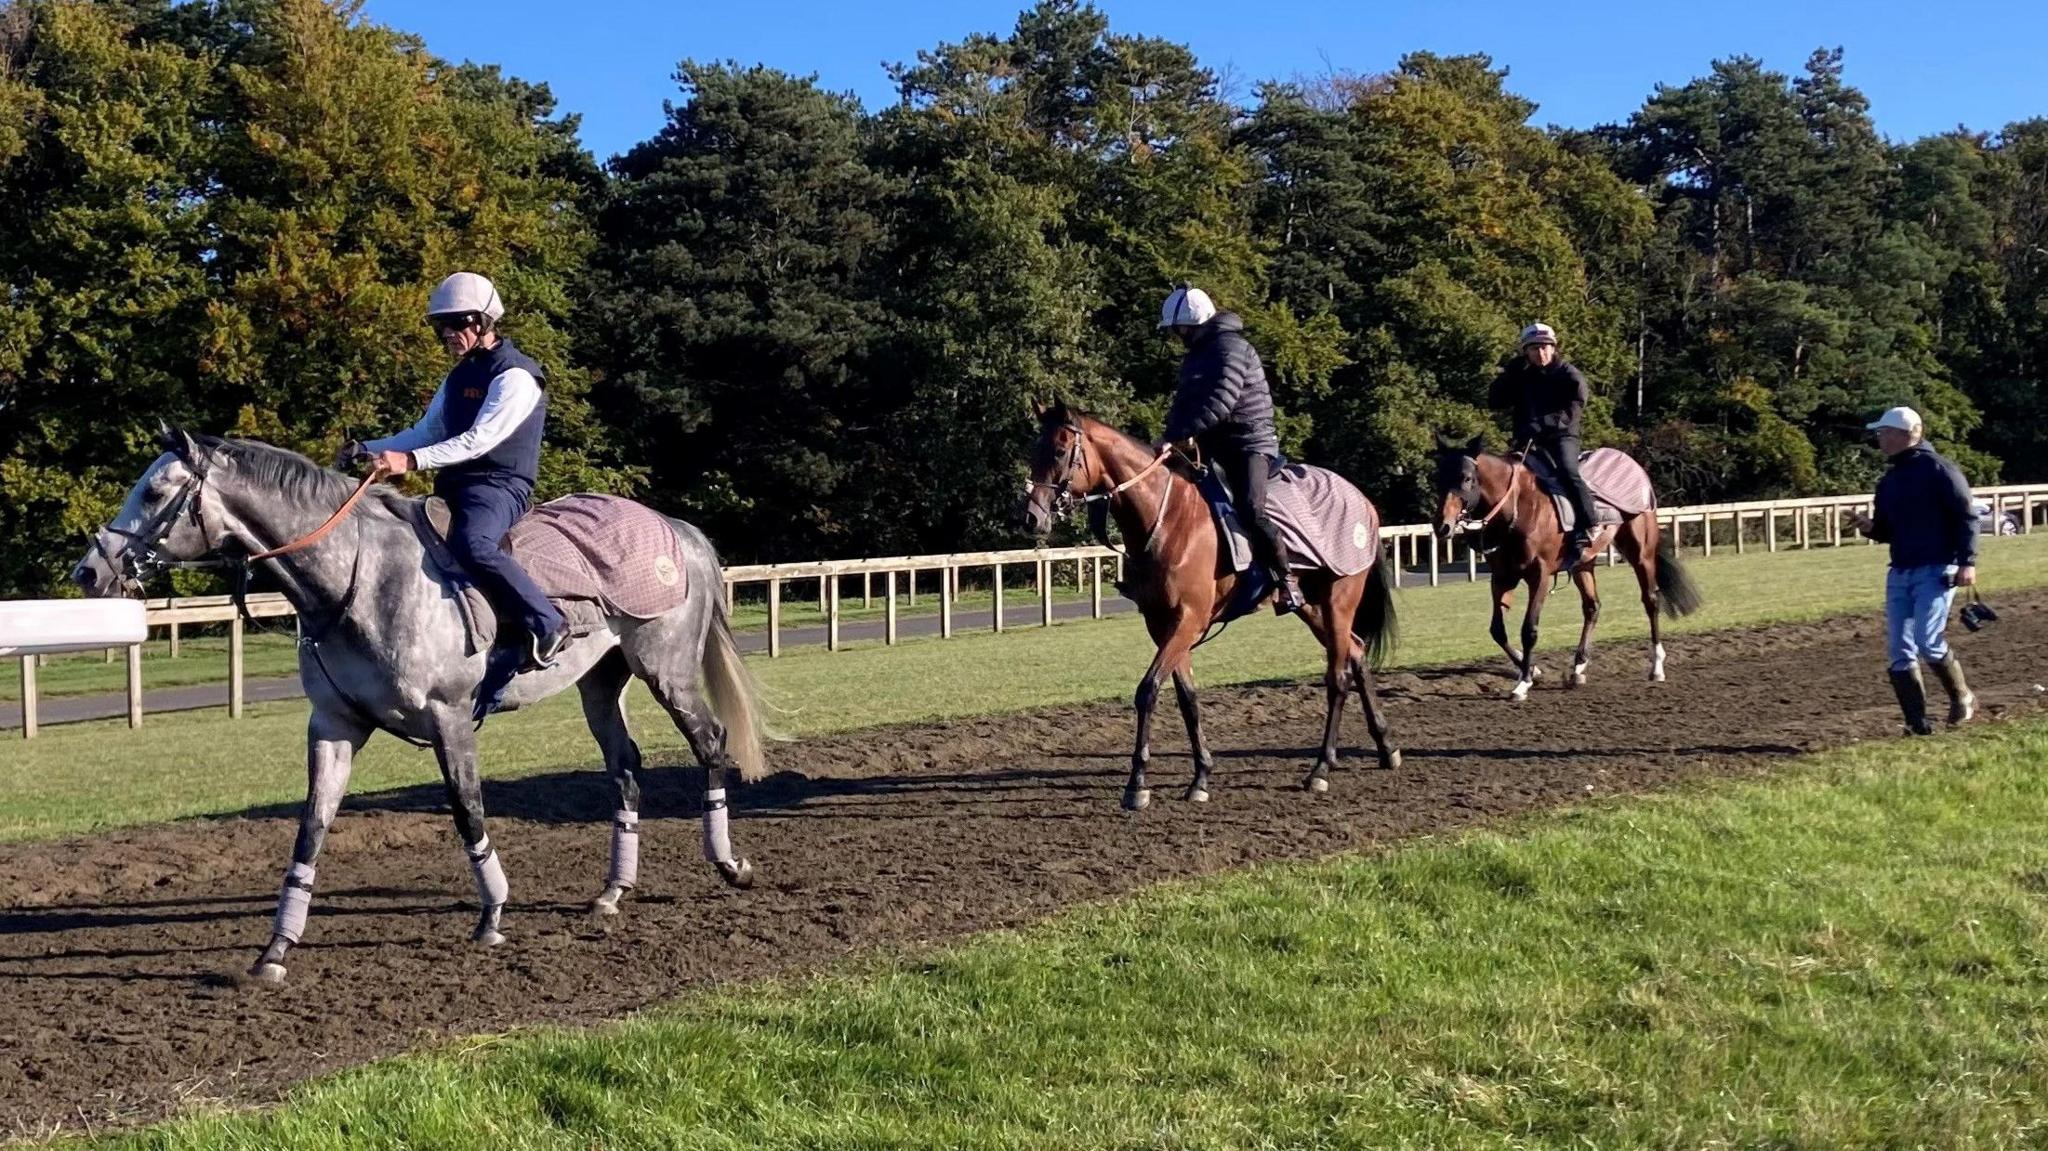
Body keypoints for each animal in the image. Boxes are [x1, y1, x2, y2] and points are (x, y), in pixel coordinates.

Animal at [74, 425, 770, 983]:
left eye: (155, 492)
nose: (88, 571)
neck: (360, 582)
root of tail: (675, 529)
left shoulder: (450, 720)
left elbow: (467, 811)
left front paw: (492, 915)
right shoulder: (333, 727)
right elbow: (311, 830)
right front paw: (276, 948)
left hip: (667, 672)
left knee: (709, 743)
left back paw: (729, 863)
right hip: (601, 685)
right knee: (625, 767)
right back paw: (613, 892)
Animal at [1015, 403, 1400, 806]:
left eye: (1059, 451)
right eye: (1034, 451)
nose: (1031, 517)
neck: (1168, 518)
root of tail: (1362, 500)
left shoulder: (1188, 620)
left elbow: (1148, 690)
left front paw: (1137, 783)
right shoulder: (1162, 626)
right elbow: (1188, 698)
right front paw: (1201, 775)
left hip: (1339, 600)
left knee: (1337, 678)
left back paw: (1321, 769)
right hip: (1312, 608)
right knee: (1356, 652)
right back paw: (1386, 746)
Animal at [1433, 432, 1703, 696]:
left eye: (1467, 478)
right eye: (1438, 477)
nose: (1442, 526)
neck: (1518, 508)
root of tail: (1633, 465)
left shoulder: (1539, 576)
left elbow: (1529, 629)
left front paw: (1524, 682)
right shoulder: (1502, 576)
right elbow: (1497, 630)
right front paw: (1533, 670)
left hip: (1641, 554)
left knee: (1651, 601)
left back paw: (1656, 666)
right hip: (1583, 564)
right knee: (1592, 607)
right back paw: (1578, 667)